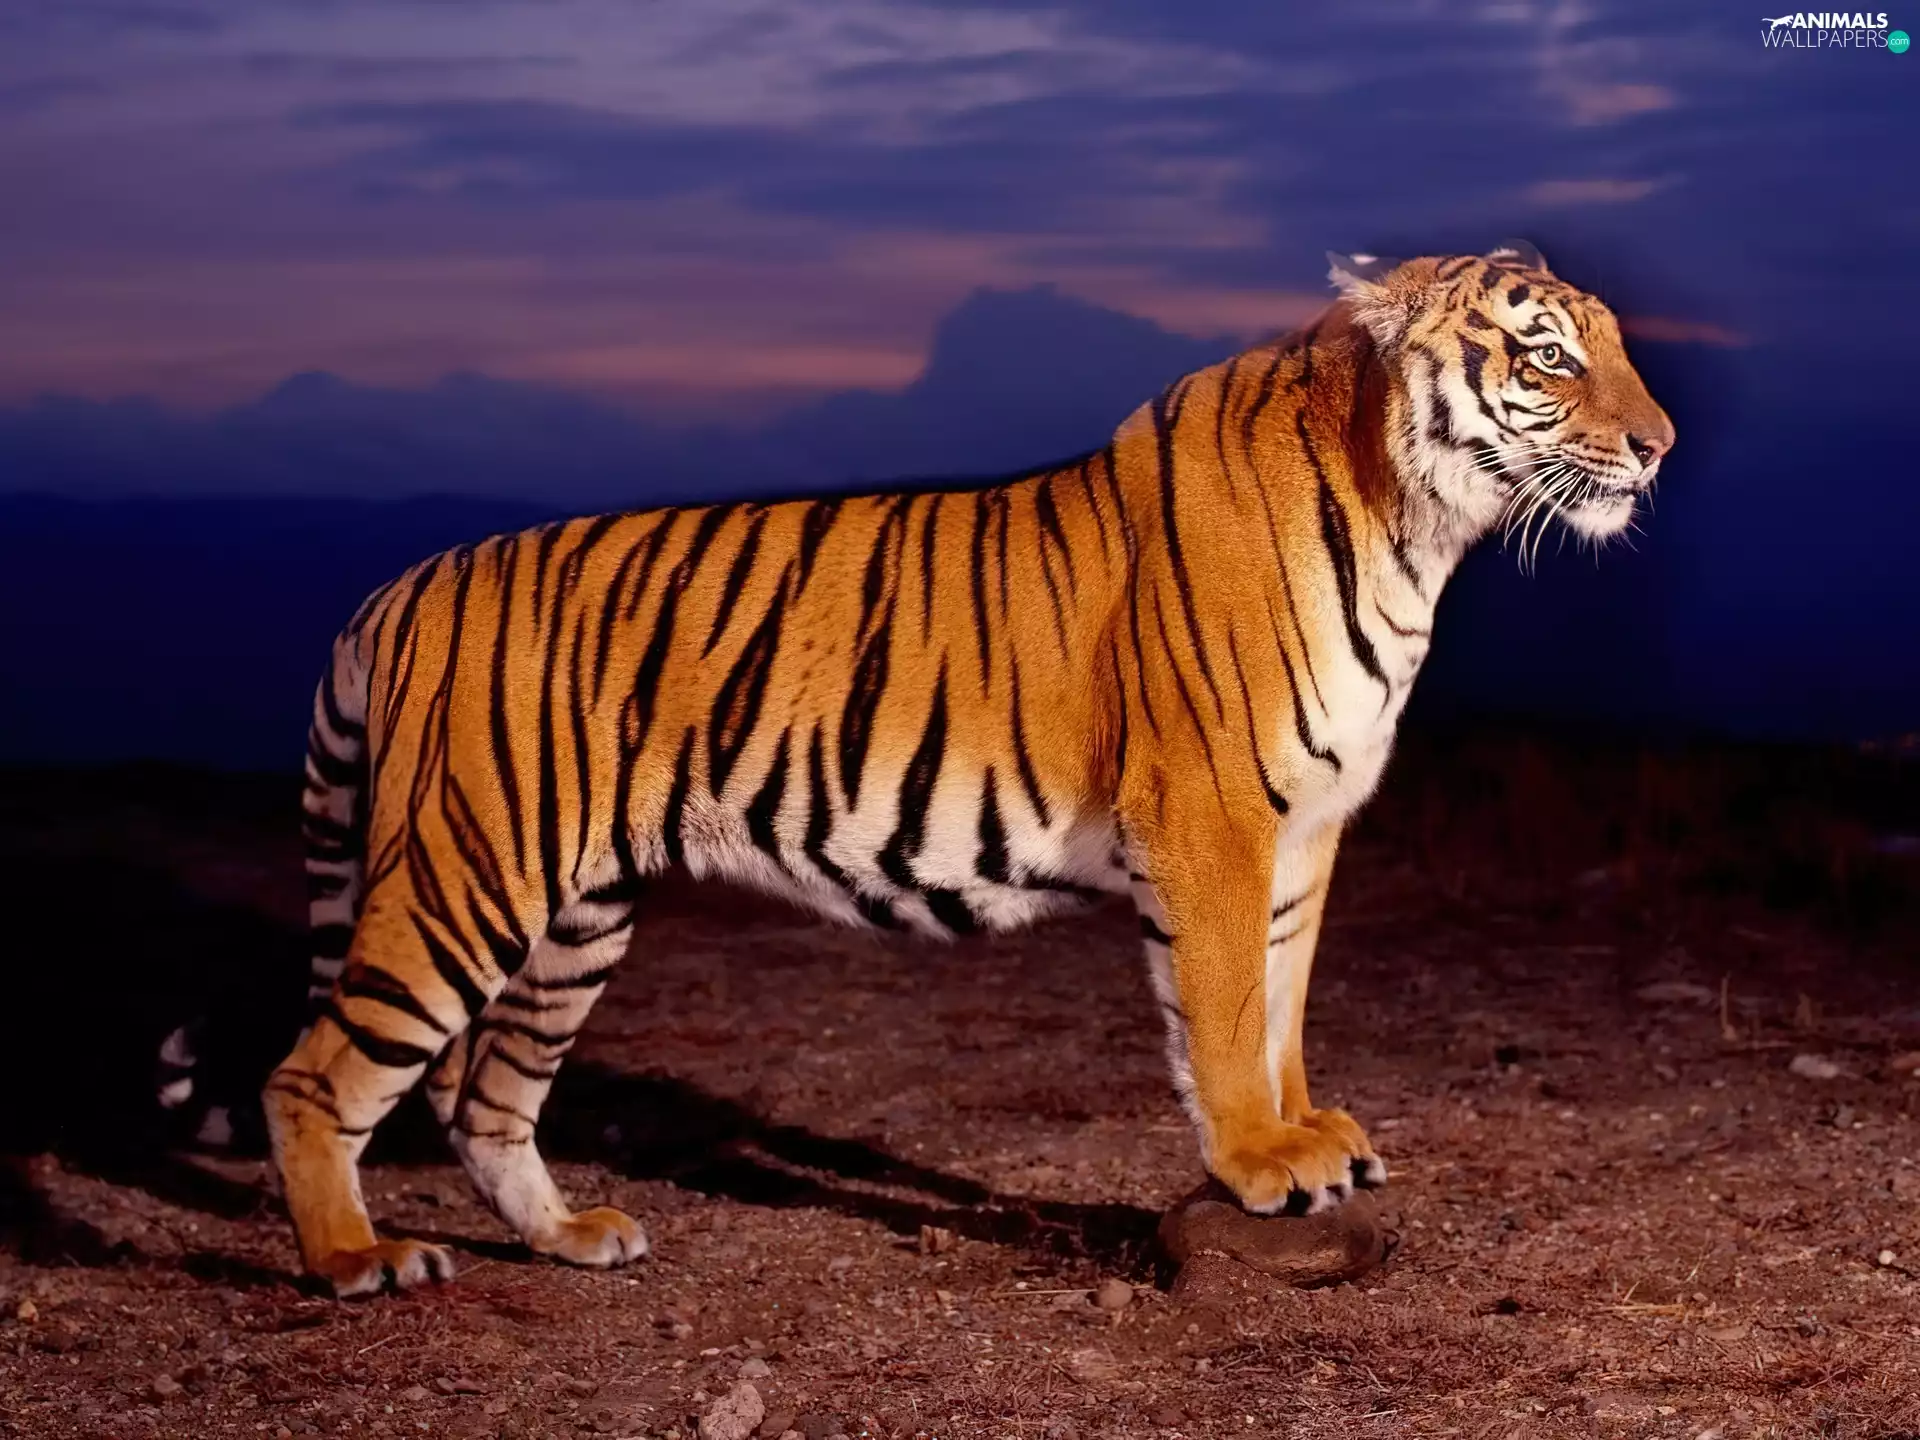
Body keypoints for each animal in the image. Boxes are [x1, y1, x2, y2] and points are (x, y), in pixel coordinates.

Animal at [258, 242, 1673, 1296]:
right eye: (1548, 353)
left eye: (1616, 345)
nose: (1658, 445)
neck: (1417, 525)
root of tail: (399, 586)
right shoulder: (1213, 812)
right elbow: (1223, 1009)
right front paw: (1258, 1162)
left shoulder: (1310, 826)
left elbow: (1282, 1003)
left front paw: (1308, 1134)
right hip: (468, 874)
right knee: (318, 1074)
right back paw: (356, 1260)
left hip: (579, 914)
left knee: (486, 1096)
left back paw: (570, 1238)